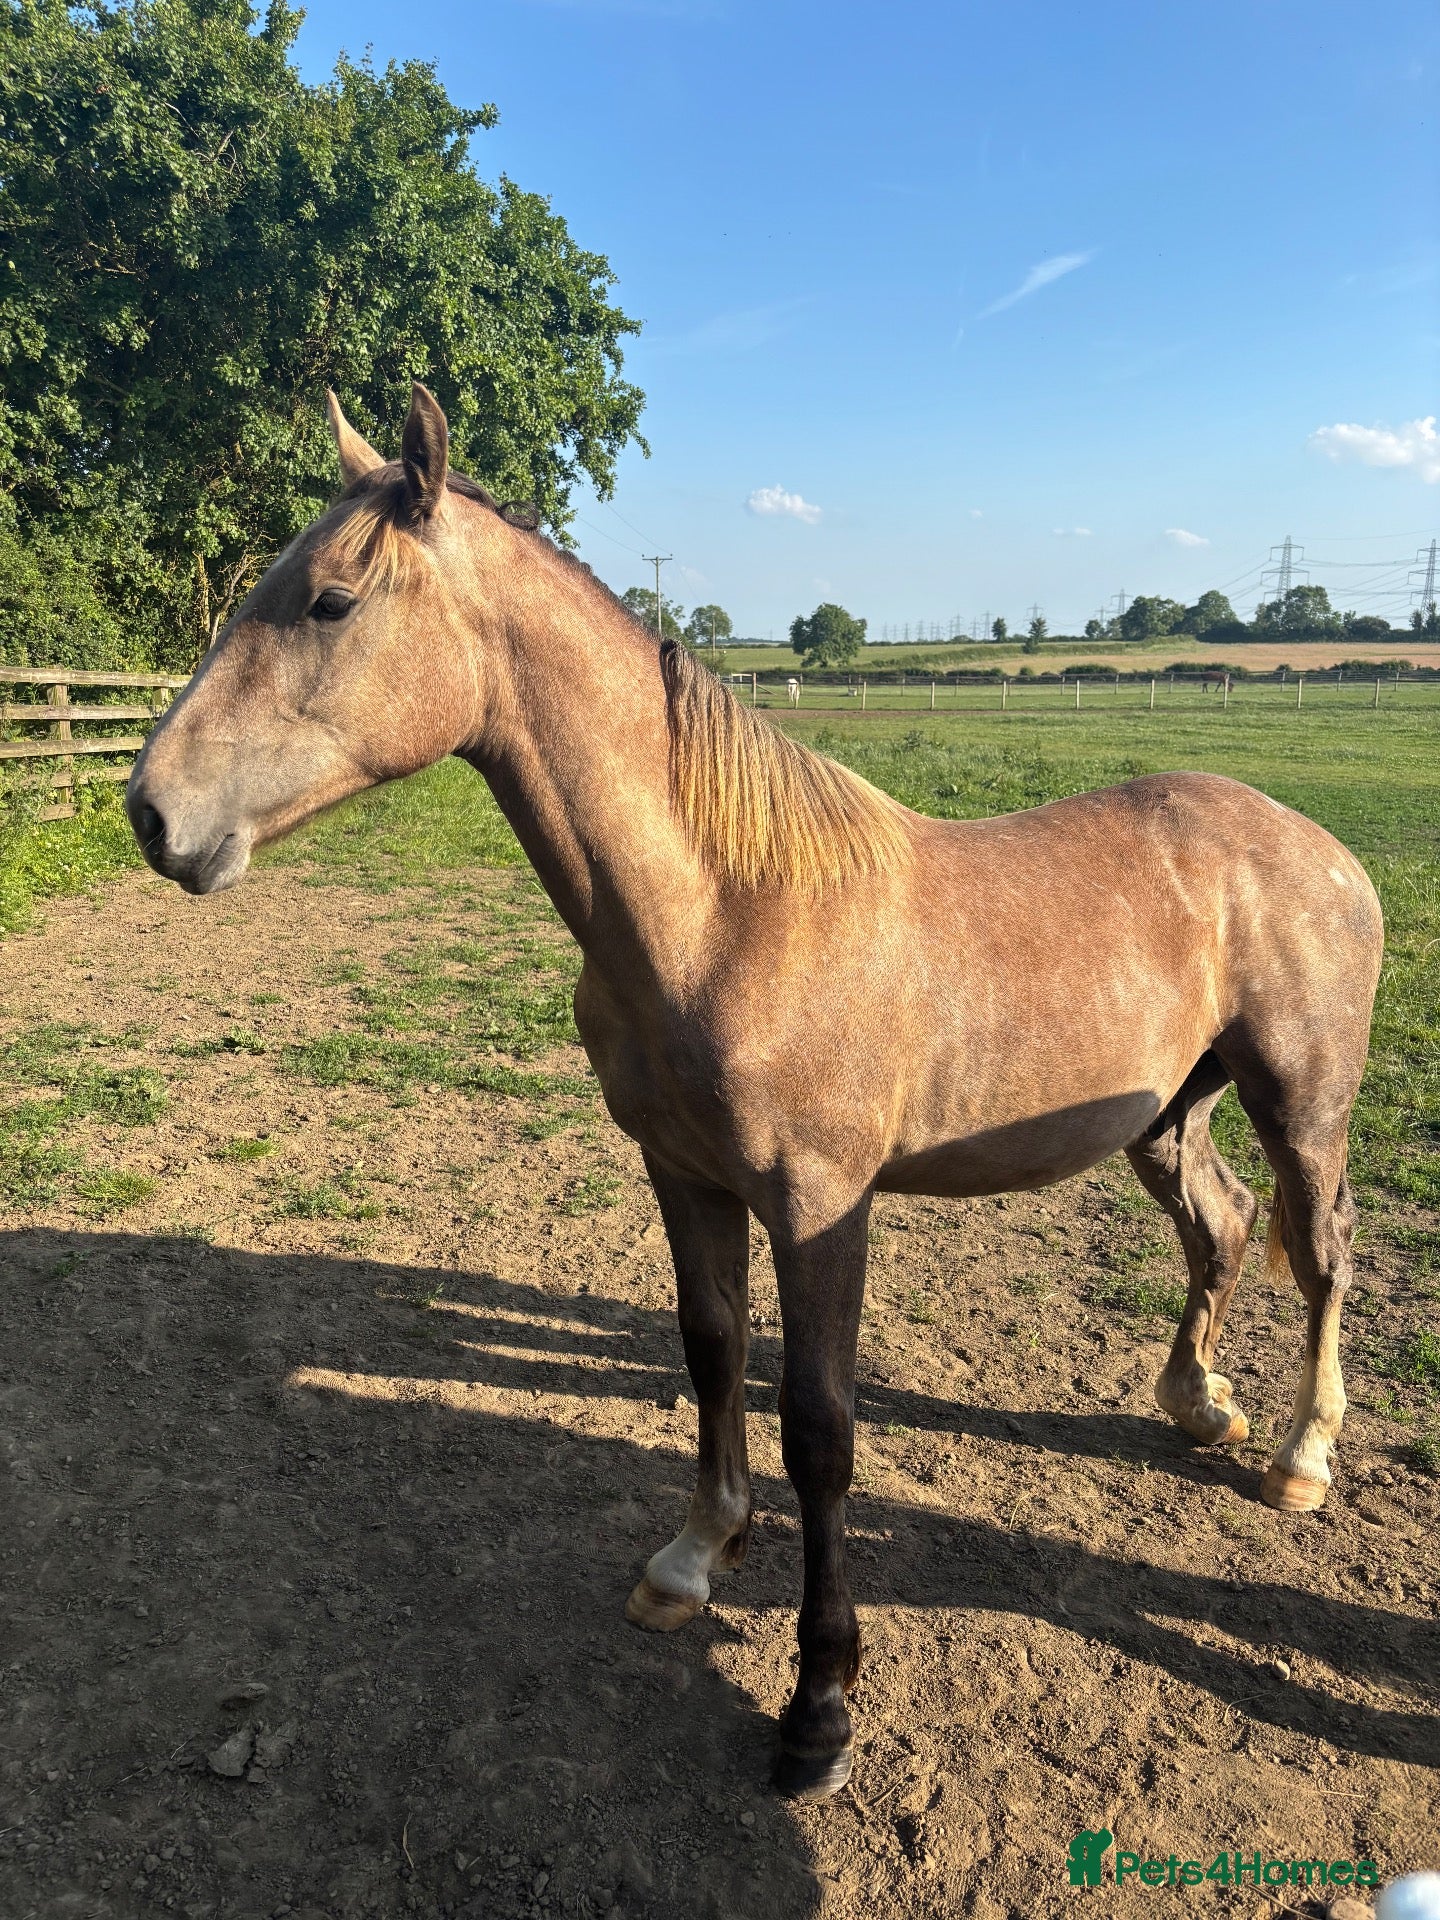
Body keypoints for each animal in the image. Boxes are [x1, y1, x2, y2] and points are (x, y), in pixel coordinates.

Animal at [126, 384, 1384, 1801]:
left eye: (331, 601)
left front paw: (818, 1707)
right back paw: (1198, 1404)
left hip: (1302, 1105)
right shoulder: (685, 1175)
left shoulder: (821, 1204)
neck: (727, 910)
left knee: (1322, 1251)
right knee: (1221, 1228)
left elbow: (822, 1432)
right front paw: (692, 1559)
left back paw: (1301, 1456)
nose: (151, 812)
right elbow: (713, 1352)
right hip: (1171, 1116)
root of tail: (1318, 847)